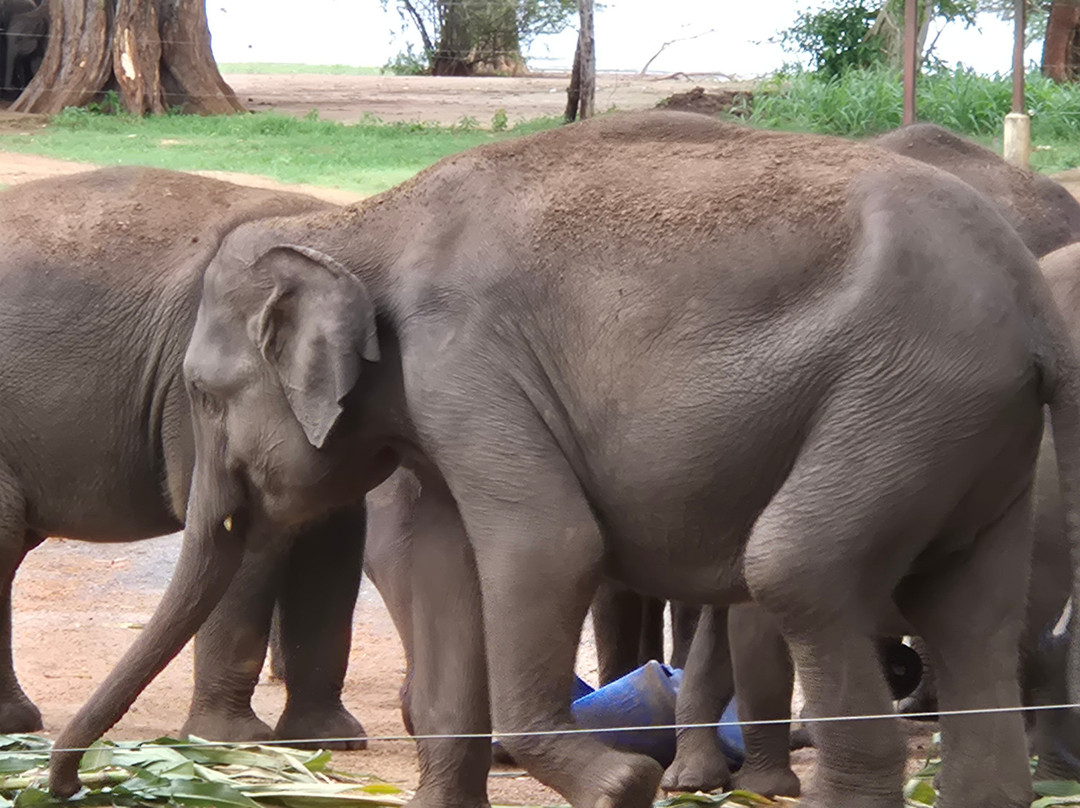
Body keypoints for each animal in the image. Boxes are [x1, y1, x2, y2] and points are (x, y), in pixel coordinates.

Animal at [48, 111, 1080, 808]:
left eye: (205, 394)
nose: (67, 783)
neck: (365, 225)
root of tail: (1035, 309)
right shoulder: (434, 403)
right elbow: (441, 561)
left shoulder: (468, 366)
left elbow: (544, 548)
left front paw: (618, 780)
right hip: (968, 436)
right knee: (971, 619)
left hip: (906, 397)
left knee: (800, 571)